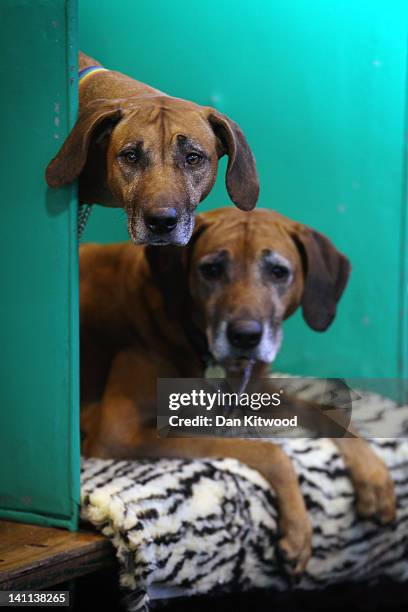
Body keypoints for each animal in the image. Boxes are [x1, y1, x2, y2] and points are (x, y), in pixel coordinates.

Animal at [79, 208, 396, 576]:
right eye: (212, 270)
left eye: (278, 272)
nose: (245, 336)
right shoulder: (118, 433)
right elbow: (269, 451)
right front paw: (298, 527)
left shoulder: (256, 391)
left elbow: (325, 412)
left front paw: (372, 472)